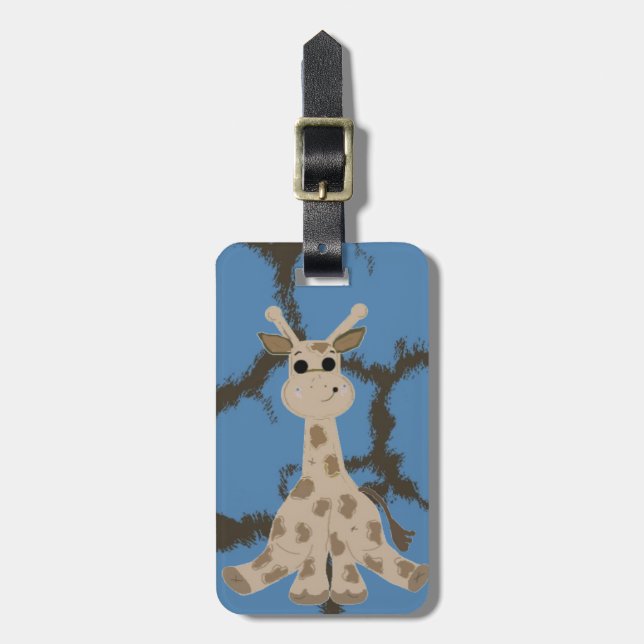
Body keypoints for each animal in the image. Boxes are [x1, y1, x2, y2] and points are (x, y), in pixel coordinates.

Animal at [221, 303, 429, 605]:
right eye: (298, 366)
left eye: (332, 362)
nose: (322, 386)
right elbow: (315, 556)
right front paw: (309, 595)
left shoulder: (335, 528)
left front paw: (342, 595)